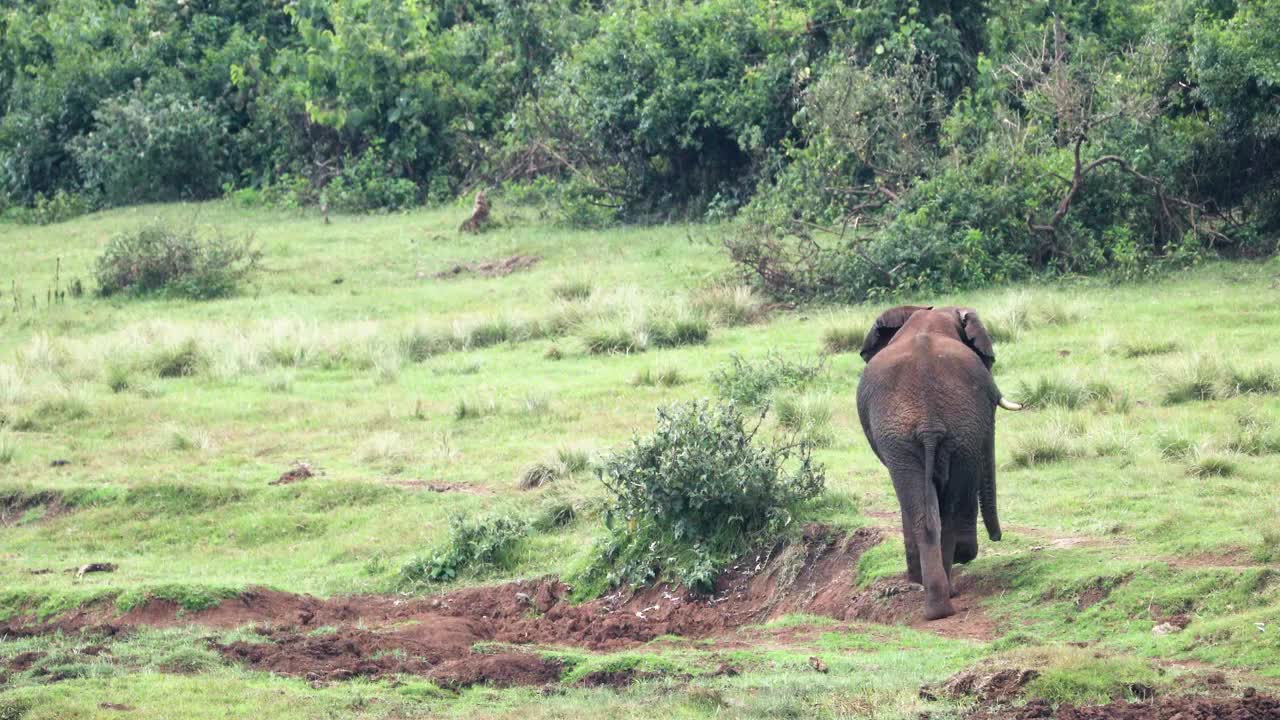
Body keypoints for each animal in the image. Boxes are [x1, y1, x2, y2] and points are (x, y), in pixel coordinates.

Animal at [855, 302, 1024, 617]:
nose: (996, 537)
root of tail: (928, 423)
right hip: (945, 432)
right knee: (941, 511)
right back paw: (941, 601)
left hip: (918, 435)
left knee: (932, 512)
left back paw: (938, 602)